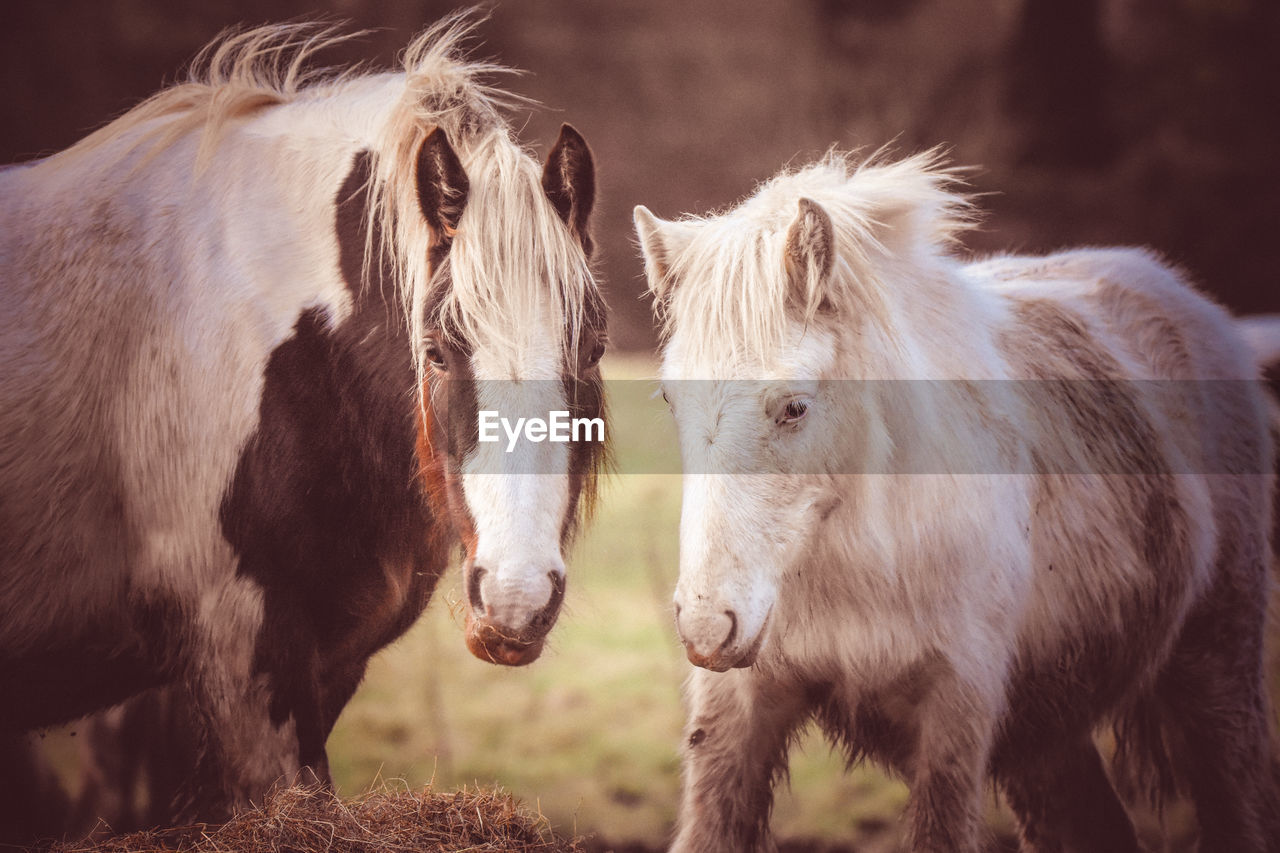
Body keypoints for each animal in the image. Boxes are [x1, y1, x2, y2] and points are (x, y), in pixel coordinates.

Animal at [634, 153, 1280, 850]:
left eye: (795, 408)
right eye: (669, 399)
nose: (706, 628)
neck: (863, 561)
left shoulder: (955, 713)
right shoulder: (739, 711)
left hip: (1217, 673)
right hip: (1046, 734)